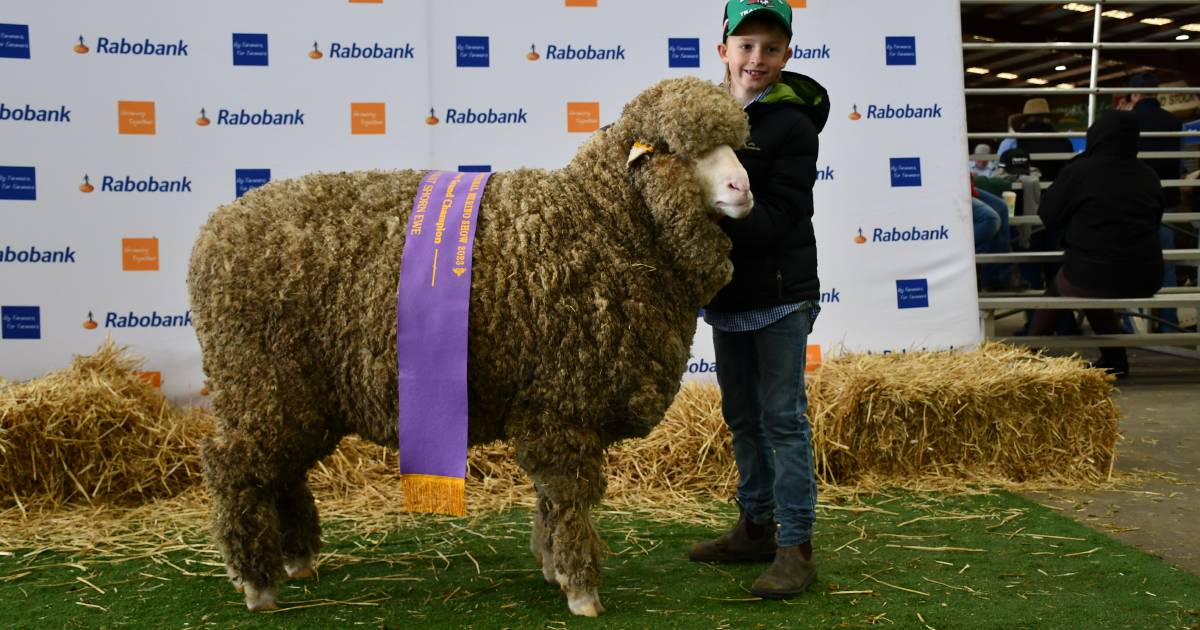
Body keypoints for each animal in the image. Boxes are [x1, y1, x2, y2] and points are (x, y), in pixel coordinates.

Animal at [187, 75, 748, 614]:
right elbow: (568, 496)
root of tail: (214, 229)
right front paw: (581, 589)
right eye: (678, 149)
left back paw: (296, 559)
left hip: (296, 396)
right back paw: (257, 584)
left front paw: (552, 565)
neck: (597, 221)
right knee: (235, 468)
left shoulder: (547, 407)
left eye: (736, 145)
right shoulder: (561, 407)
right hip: (259, 380)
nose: (742, 187)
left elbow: (549, 500)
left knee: (280, 471)